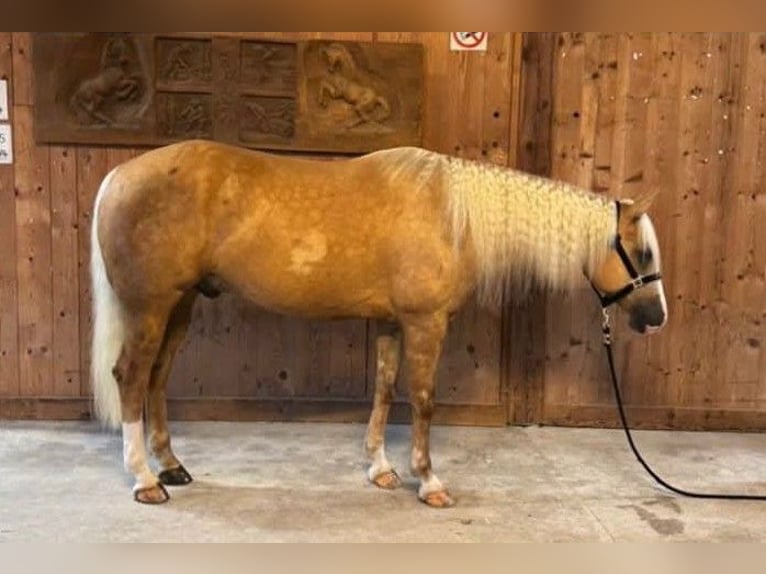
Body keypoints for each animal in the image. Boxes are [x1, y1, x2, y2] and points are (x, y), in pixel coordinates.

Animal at [88, 140, 664, 508]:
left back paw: (170, 466)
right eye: (640, 251)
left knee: (156, 378)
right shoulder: (426, 323)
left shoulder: (391, 323)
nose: (656, 318)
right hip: (150, 306)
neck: (453, 217)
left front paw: (382, 470)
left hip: (179, 306)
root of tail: (118, 176)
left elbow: (385, 391)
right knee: (131, 377)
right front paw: (428, 481)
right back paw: (145, 480)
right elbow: (423, 399)